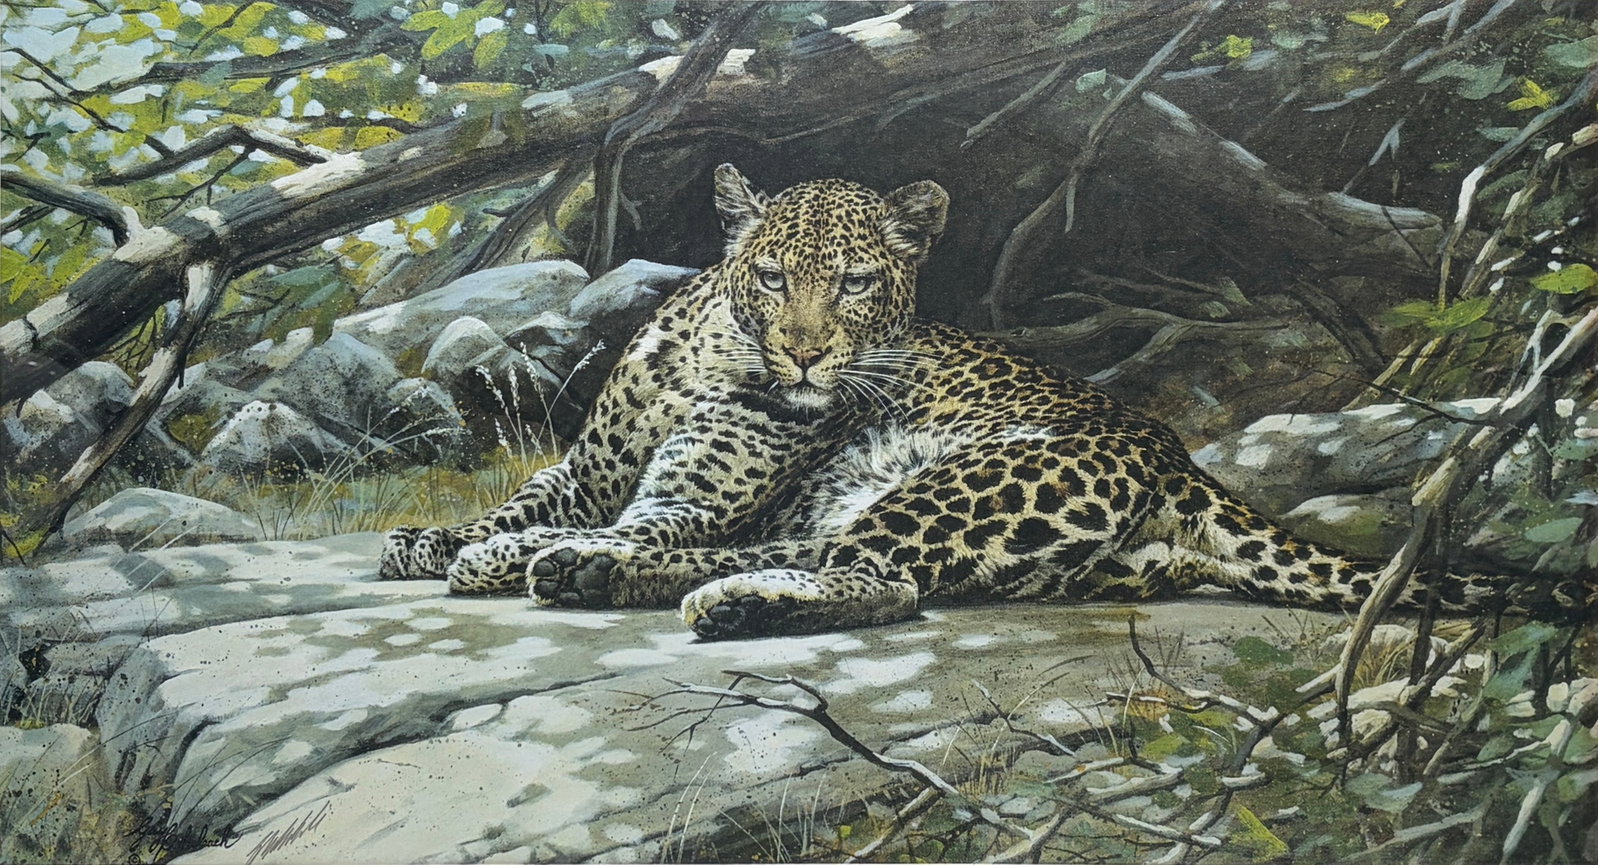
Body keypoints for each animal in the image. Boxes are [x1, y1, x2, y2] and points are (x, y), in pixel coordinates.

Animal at [379, 164, 1586, 640]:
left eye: (856, 283)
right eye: (768, 275)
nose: (804, 356)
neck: (713, 360)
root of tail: (1179, 459)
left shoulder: (698, 490)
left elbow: (654, 520)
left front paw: (512, 553)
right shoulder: (588, 466)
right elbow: (525, 501)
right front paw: (444, 543)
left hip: (971, 478)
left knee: (869, 579)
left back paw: (666, 589)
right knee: (826, 561)